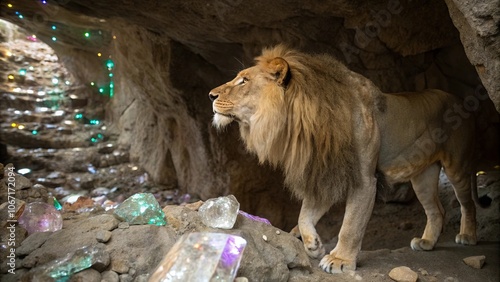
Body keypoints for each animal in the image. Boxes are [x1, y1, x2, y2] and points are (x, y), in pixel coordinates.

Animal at [209, 45, 478, 274]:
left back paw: (468, 236)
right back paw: (427, 242)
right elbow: (304, 215)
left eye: (244, 80)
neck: (303, 122)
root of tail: (456, 97)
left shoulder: (364, 179)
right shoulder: (324, 171)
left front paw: (340, 260)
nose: (210, 94)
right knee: (437, 210)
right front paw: (313, 245)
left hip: (457, 166)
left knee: (467, 203)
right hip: (423, 176)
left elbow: (351, 225)